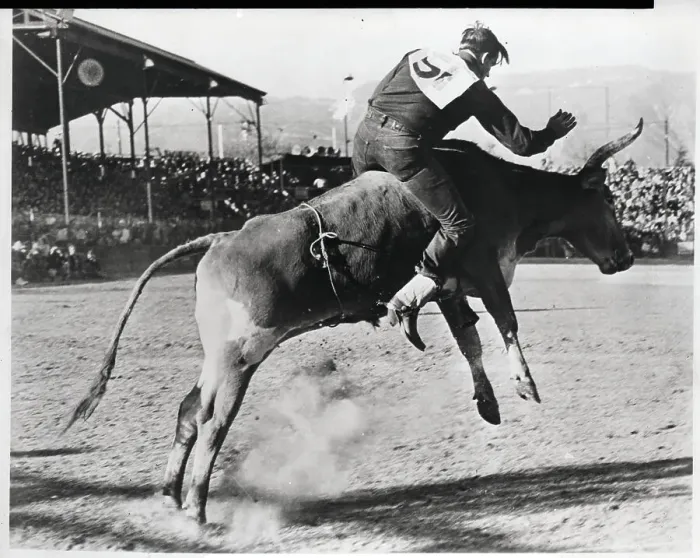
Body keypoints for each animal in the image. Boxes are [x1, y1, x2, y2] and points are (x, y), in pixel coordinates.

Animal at [64, 119, 643, 524]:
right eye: (607, 199)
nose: (627, 256)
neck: (503, 189)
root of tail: (222, 238)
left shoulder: (452, 286)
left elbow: (469, 340)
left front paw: (487, 401)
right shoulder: (485, 269)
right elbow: (506, 323)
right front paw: (524, 384)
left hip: (220, 355)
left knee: (189, 411)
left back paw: (171, 499)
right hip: (239, 355)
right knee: (212, 421)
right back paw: (198, 509)